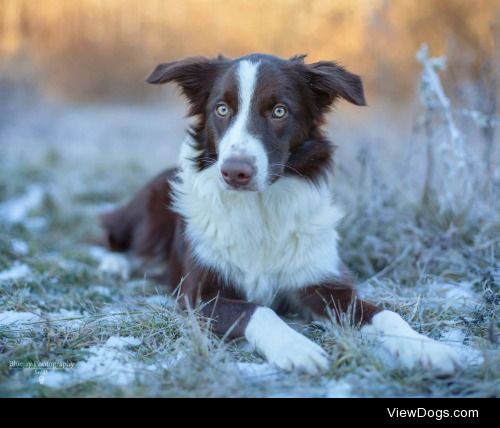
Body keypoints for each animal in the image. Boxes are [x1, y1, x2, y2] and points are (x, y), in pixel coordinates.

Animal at [100, 53, 460, 374]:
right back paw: (114, 264)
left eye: (279, 111)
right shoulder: (197, 295)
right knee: (115, 234)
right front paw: (297, 347)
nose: (235, 172)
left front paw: (425, 347)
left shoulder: (322, 282)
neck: (260, 209)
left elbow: (386, 314)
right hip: (152, 207)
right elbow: (258, 310)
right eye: (221, 109)